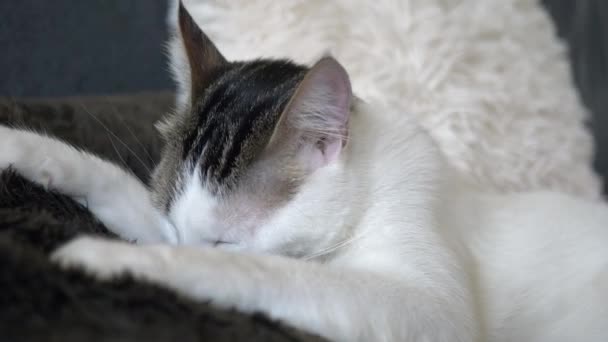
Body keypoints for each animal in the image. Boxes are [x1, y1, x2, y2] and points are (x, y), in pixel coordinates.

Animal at [1, 2, 608, 342]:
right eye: (174, 226)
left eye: (223, 242)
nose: (174, 244)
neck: (371, 190)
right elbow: (115, 186)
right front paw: (20, 146)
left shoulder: (432, 310)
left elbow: (266, 272)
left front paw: (110, 259)